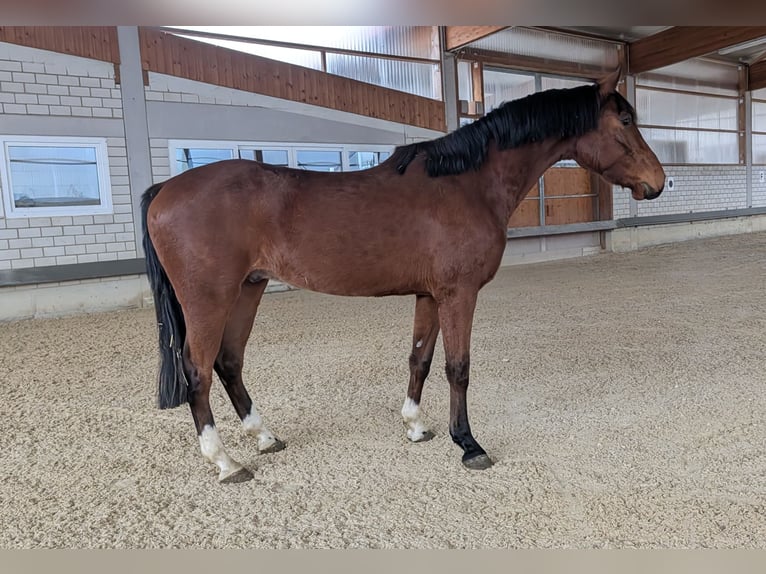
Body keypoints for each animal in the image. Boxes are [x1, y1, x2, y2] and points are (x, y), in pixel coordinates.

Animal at [141, 68, 665, 483]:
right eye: (625, 121)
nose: (658, 182)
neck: (465, 183)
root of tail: (166, 188)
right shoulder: (458, 294)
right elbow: (458, 368)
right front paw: (468, 444)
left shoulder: (430, 295)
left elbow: (421, 360)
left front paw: (416, 425)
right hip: (209, 298)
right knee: (197, 371)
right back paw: (225, 461)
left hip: (248, 290)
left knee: (229, 361)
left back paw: (265, 436)